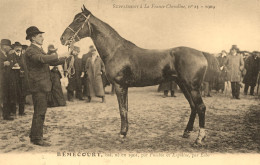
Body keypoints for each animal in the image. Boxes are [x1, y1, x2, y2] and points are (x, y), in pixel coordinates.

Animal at [60, 5, 217, 144]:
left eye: (79, 20)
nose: (62, 38)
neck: (115, 50)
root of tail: (201, 53)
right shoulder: (125, 86)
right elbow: (126, 109)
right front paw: (125, 132)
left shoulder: (119, 85)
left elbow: (122, 110)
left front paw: (122, 134)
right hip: (183, 85)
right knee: (193, 106)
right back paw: (186, 132)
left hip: (193, 87)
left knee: (201, 107)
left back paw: (199, 139)